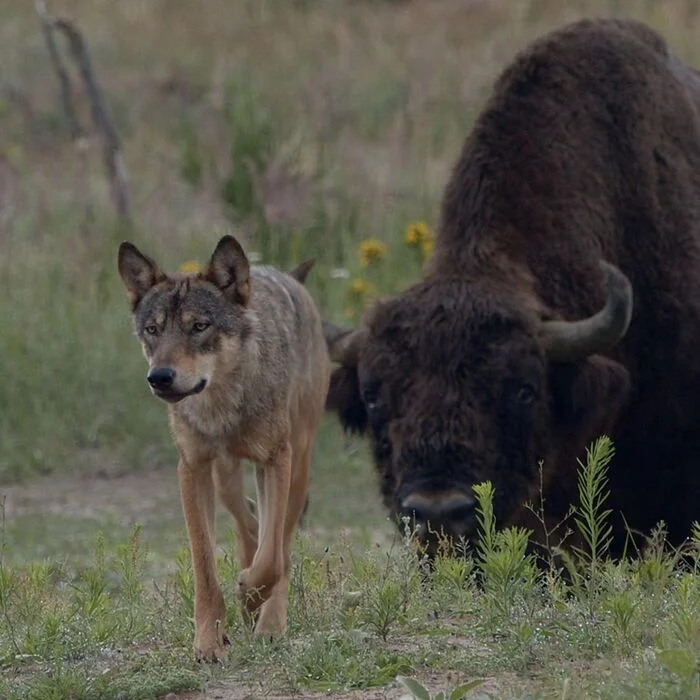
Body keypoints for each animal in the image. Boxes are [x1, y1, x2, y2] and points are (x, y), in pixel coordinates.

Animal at [118, 234, 330, 660]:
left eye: (199, 326)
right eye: (153, 329)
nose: (159, 377)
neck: (221, 406)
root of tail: (285, 274)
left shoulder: (275, 460)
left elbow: (273, 557)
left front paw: (252, 597)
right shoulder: (192, 469)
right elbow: (205, 565)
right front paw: (208, 642)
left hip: (298, 465)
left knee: (279, 539)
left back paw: (266, 619)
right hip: (226, 478)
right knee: (248, 520)